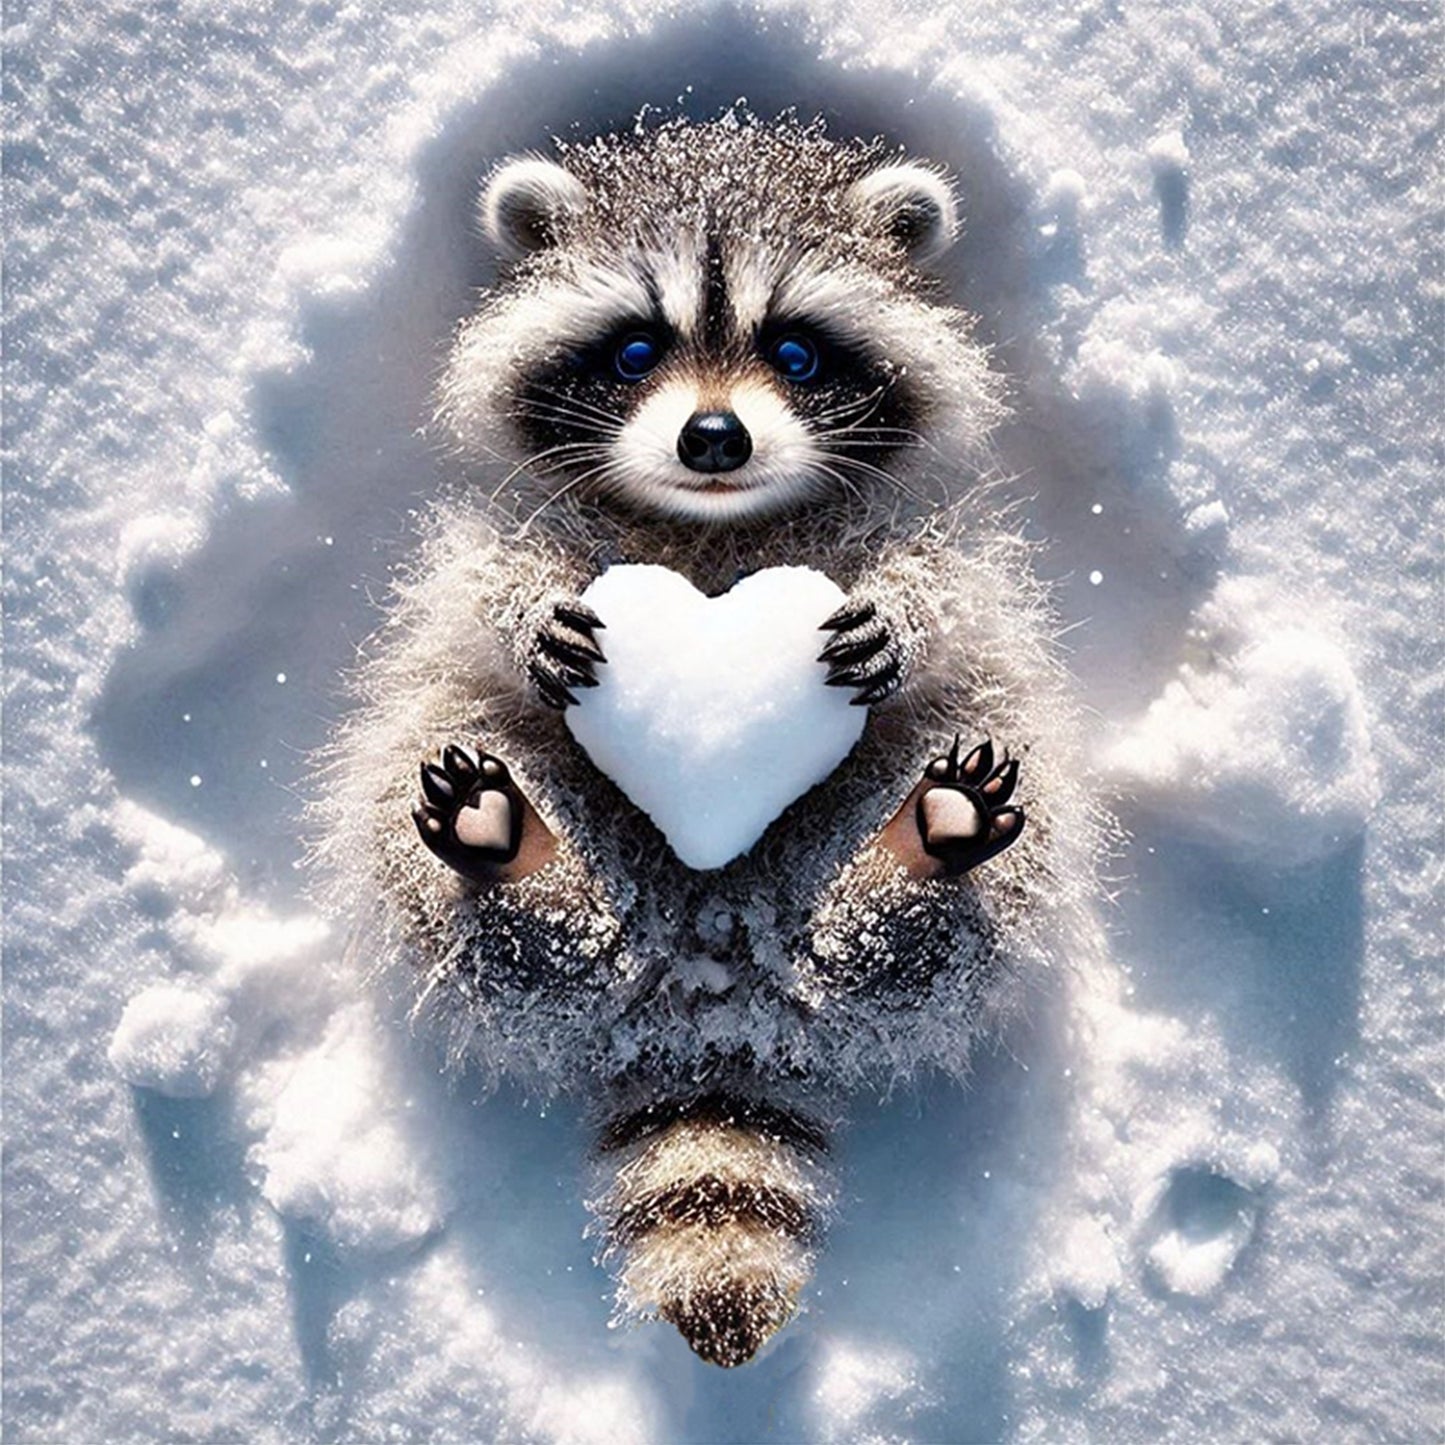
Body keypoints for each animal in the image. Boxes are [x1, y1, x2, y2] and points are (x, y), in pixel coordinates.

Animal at [312, 116, 1098, 1367]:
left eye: (796, 352)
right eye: (637, 348)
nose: (713, 436)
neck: (713, 527)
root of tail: (711, 988)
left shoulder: (921, 526)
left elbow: (950, 583)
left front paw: (903, 614)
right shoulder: (517, 523)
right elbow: (478, 577)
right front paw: (524, 615)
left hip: (919, 803)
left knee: (955, 915)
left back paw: (927, 844)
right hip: (471, 785)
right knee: (463, 889)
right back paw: (507, 847)